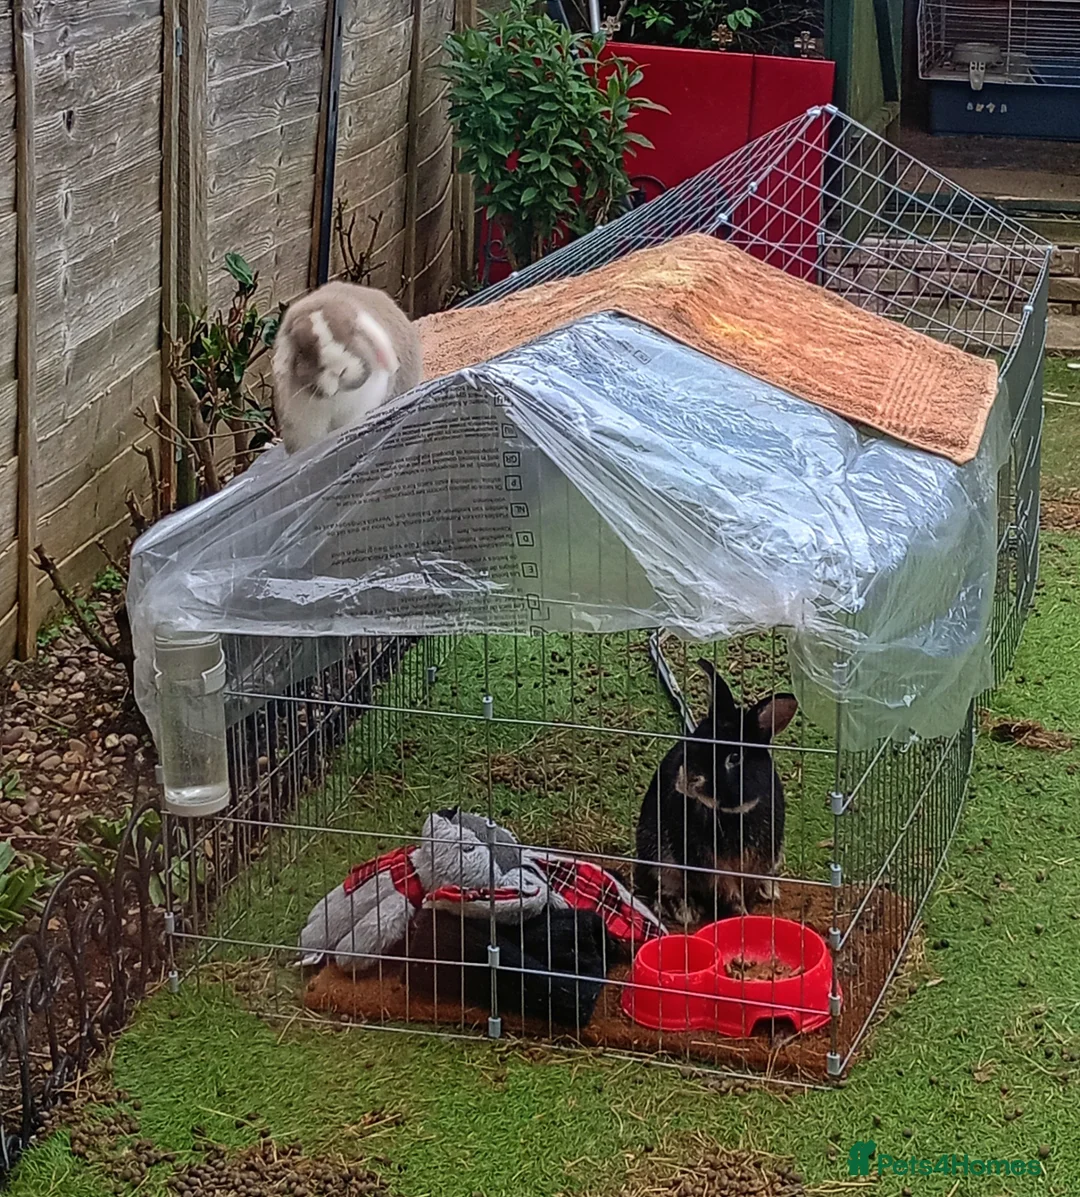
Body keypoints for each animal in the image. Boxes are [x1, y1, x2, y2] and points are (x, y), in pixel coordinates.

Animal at [634, 658, 797, 927]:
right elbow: (726, 893)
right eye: (694, 740)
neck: (730, 812)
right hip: (657, 853)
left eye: (735, 757)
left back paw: (769, 890)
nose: (690, 777)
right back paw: (684, 910)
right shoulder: (708, 867)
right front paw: (739, 915)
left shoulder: (761, 858)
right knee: (663, 886)